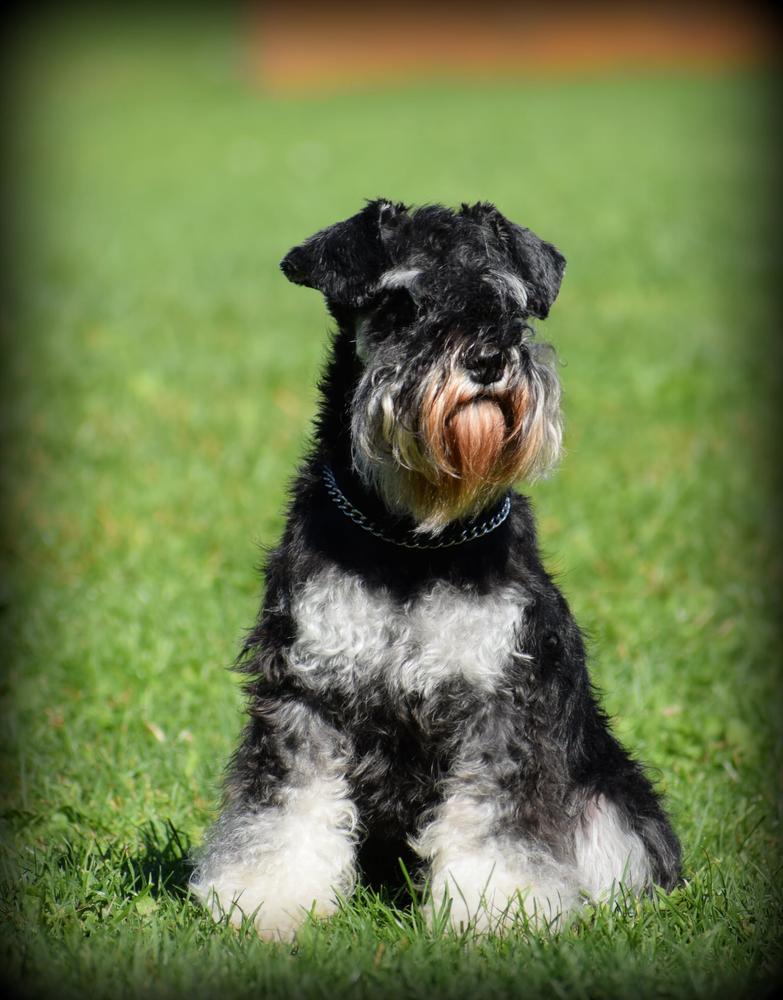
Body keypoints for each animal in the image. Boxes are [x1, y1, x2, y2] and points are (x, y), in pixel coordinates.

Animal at [190, 197, 680, 936]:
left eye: (509, 305)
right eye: (399, 302)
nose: (487, 358)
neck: (410, 540)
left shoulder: (498, 697)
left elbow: (493, 823)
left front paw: (498, 911)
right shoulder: (305, 687)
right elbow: (287, 808)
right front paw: (267, 899)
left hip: (611, 795)